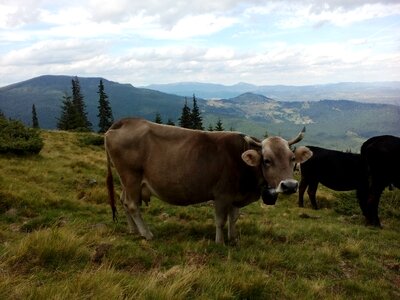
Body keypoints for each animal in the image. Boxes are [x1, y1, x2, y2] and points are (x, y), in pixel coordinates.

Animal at [104, 118, 312, 244]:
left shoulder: (235, 196)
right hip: (131, 176)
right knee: (132, 204)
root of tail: (125, 122)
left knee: (124, 201)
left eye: (292, 159)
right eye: (267, 160)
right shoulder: (221, 195)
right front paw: (219, 242)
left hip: (128, 181)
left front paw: (233, 238)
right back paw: (146, 234)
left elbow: (233, 218)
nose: (290, 185)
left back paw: (133, 230)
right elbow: (220, 220)